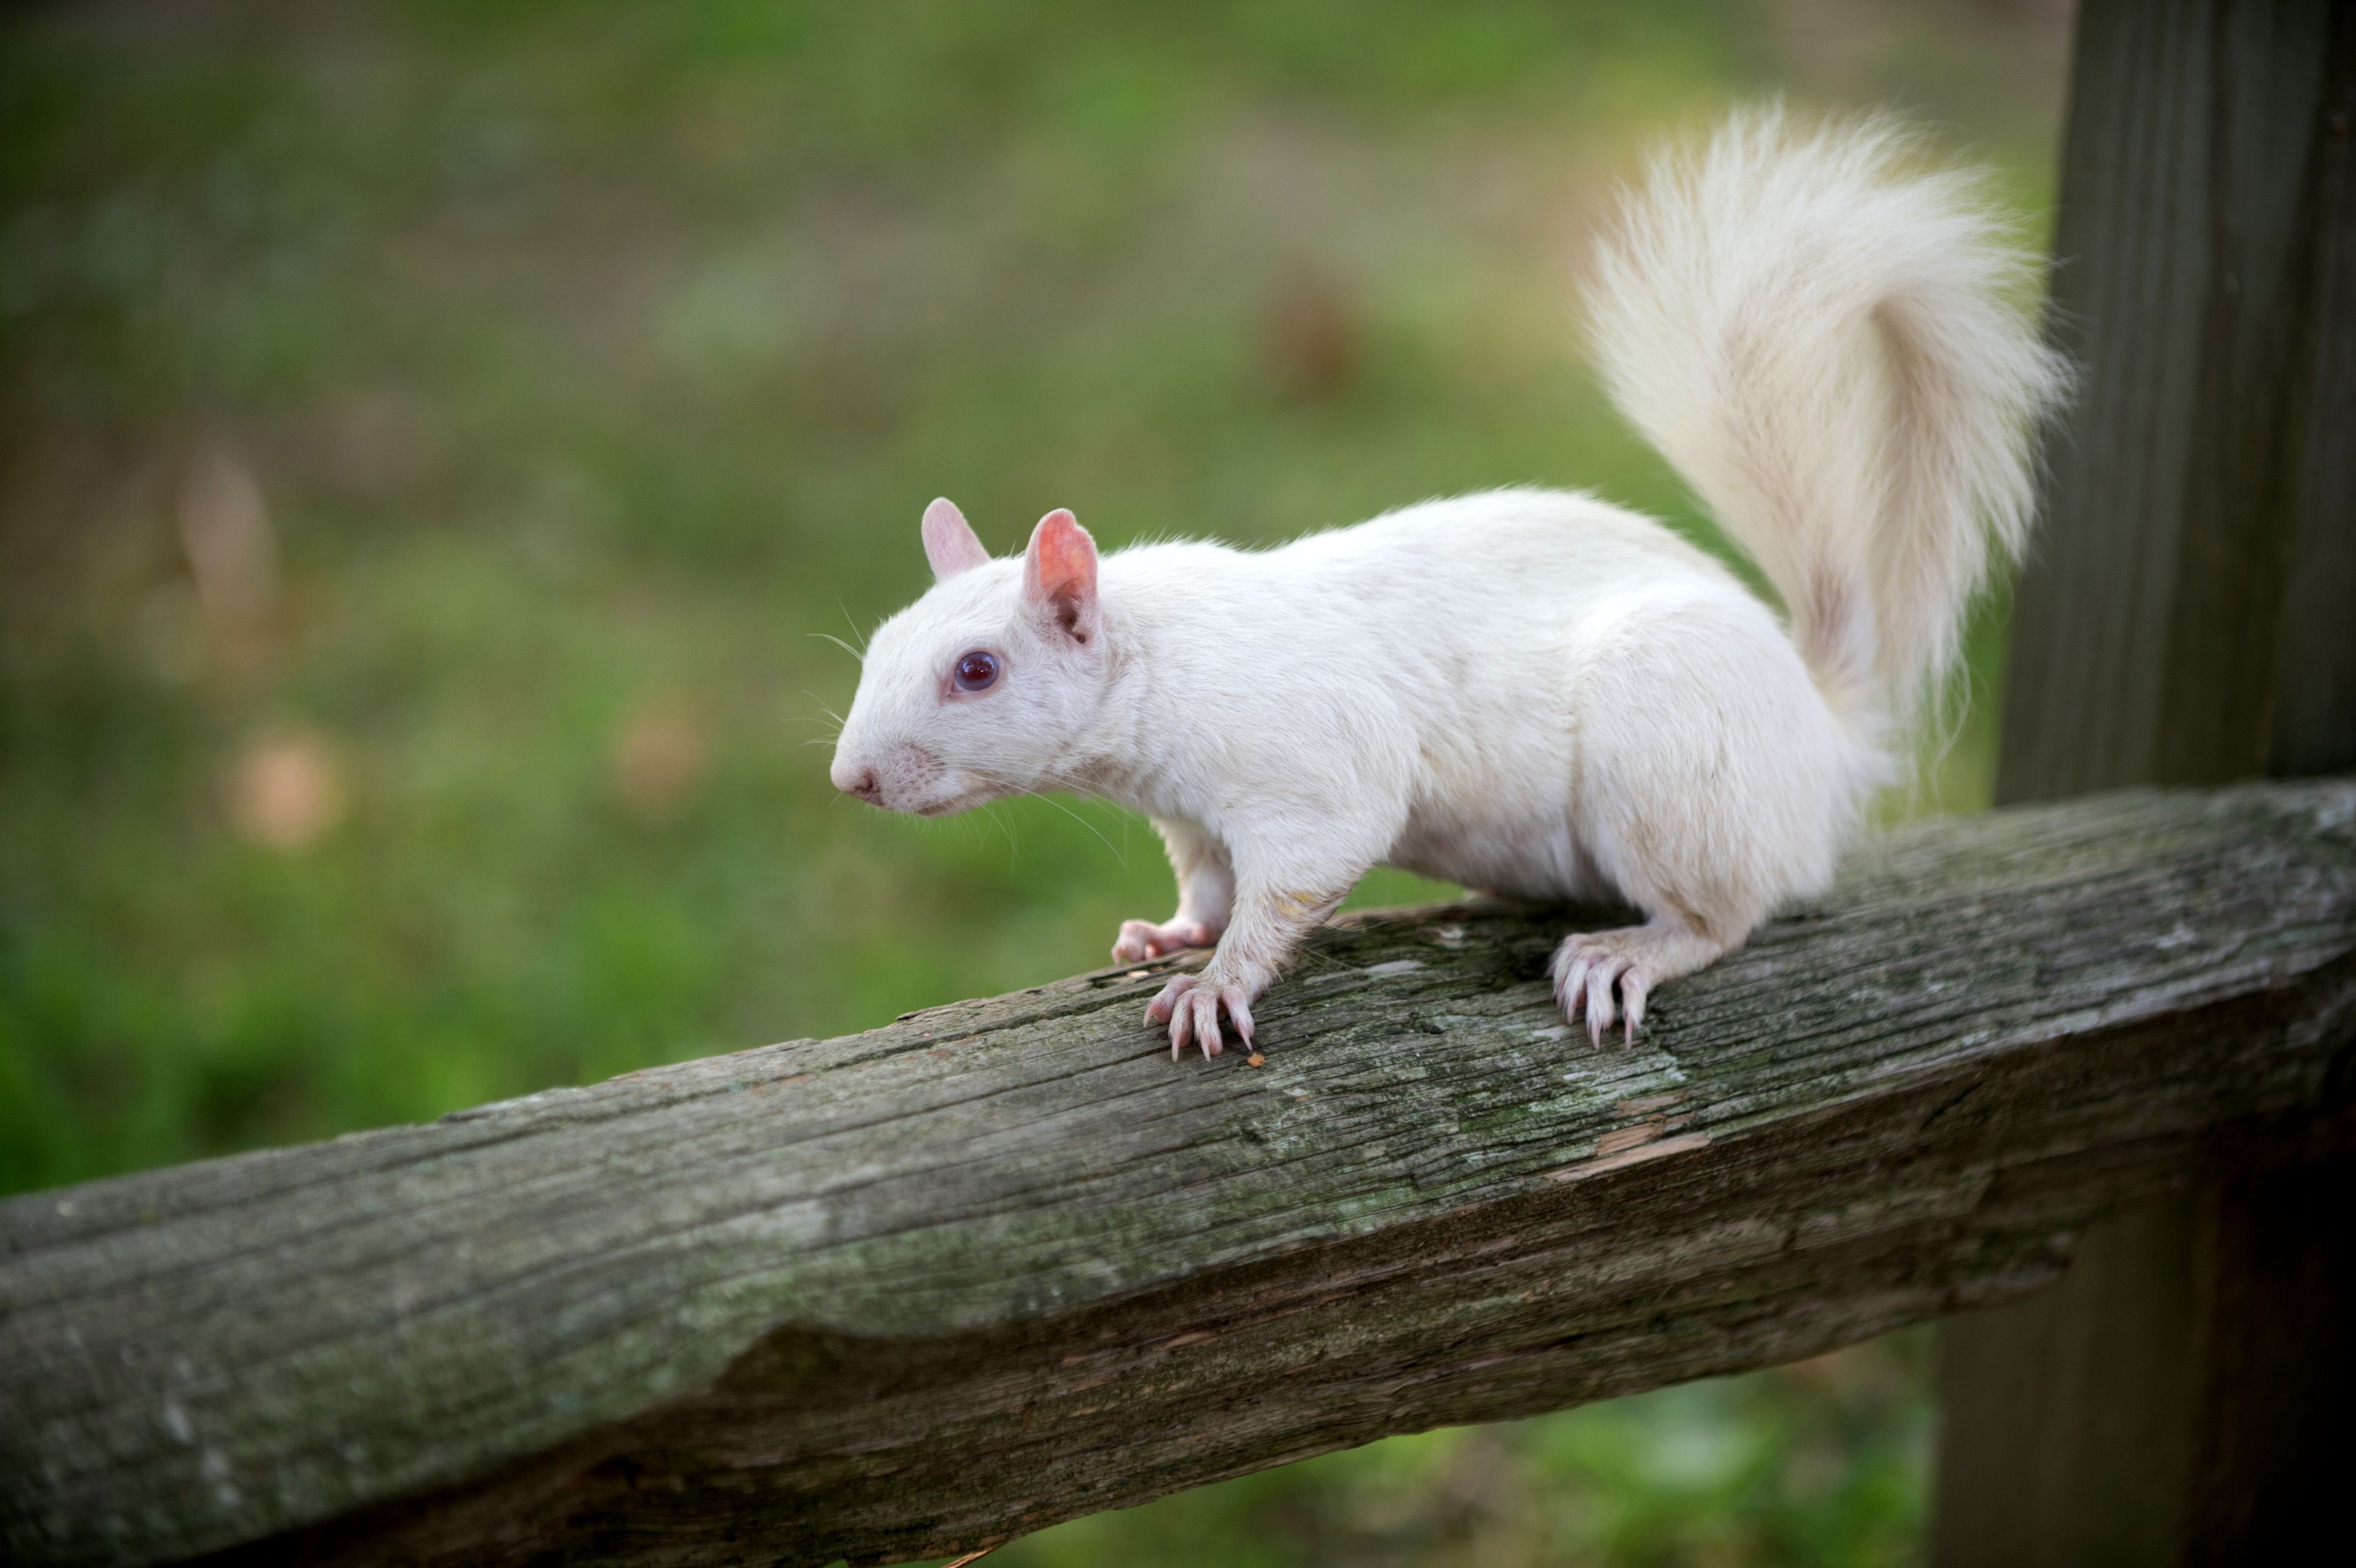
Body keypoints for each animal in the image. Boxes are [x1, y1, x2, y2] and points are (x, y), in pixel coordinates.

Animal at [829, 108, 2069, 1059]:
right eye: (884, 641)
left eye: (977, 670)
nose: (850, 780)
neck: (1159, 659)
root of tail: (1820, 738)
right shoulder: (1193, 816)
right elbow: (1213, 886)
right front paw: (1171, 936)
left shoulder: (1312, 768)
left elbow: (1292, 884)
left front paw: (1217, 984)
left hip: (1676, 749)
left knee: (1728, 909)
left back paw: (1630, 950)